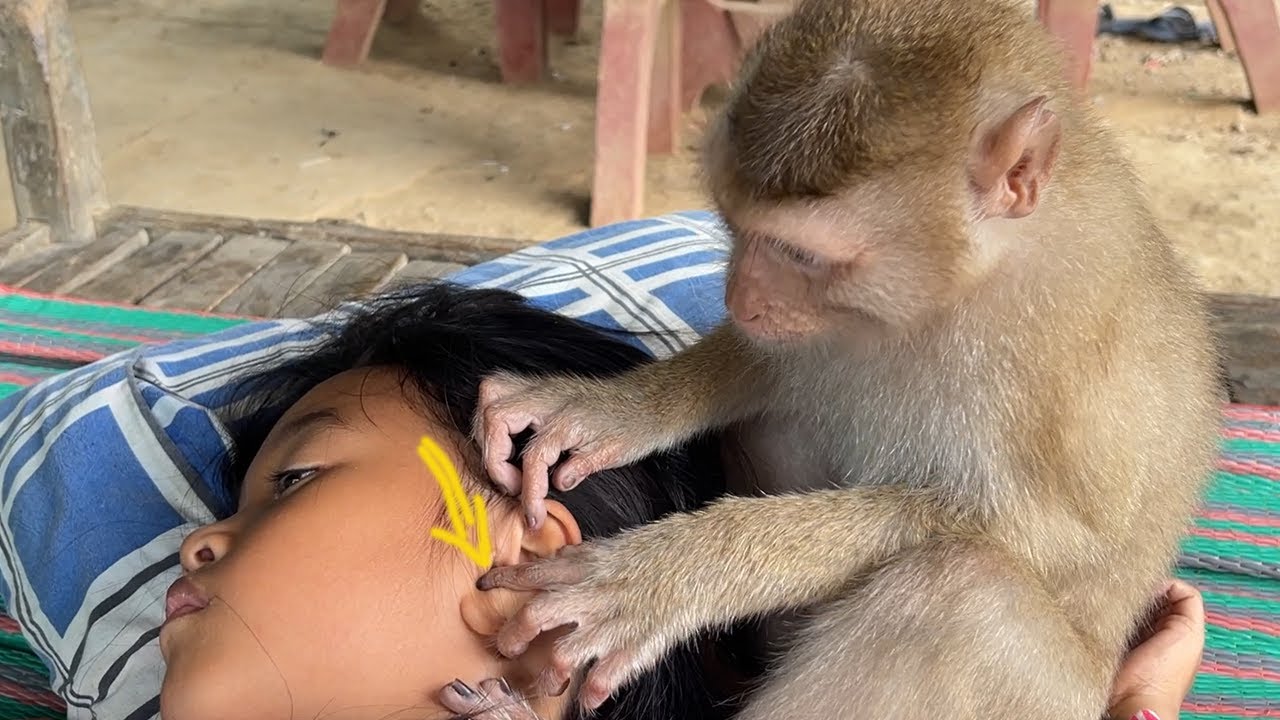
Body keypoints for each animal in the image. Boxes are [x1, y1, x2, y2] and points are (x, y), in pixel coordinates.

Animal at [466, 0, 1224, 718]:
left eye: (799, 254)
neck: (958, 292)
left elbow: (1022, 538)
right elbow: (782, 366)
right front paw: (611, 409)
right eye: (732, 224)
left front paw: (673, 571)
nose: (740, 298)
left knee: (960, 594)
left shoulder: (1057, 369)